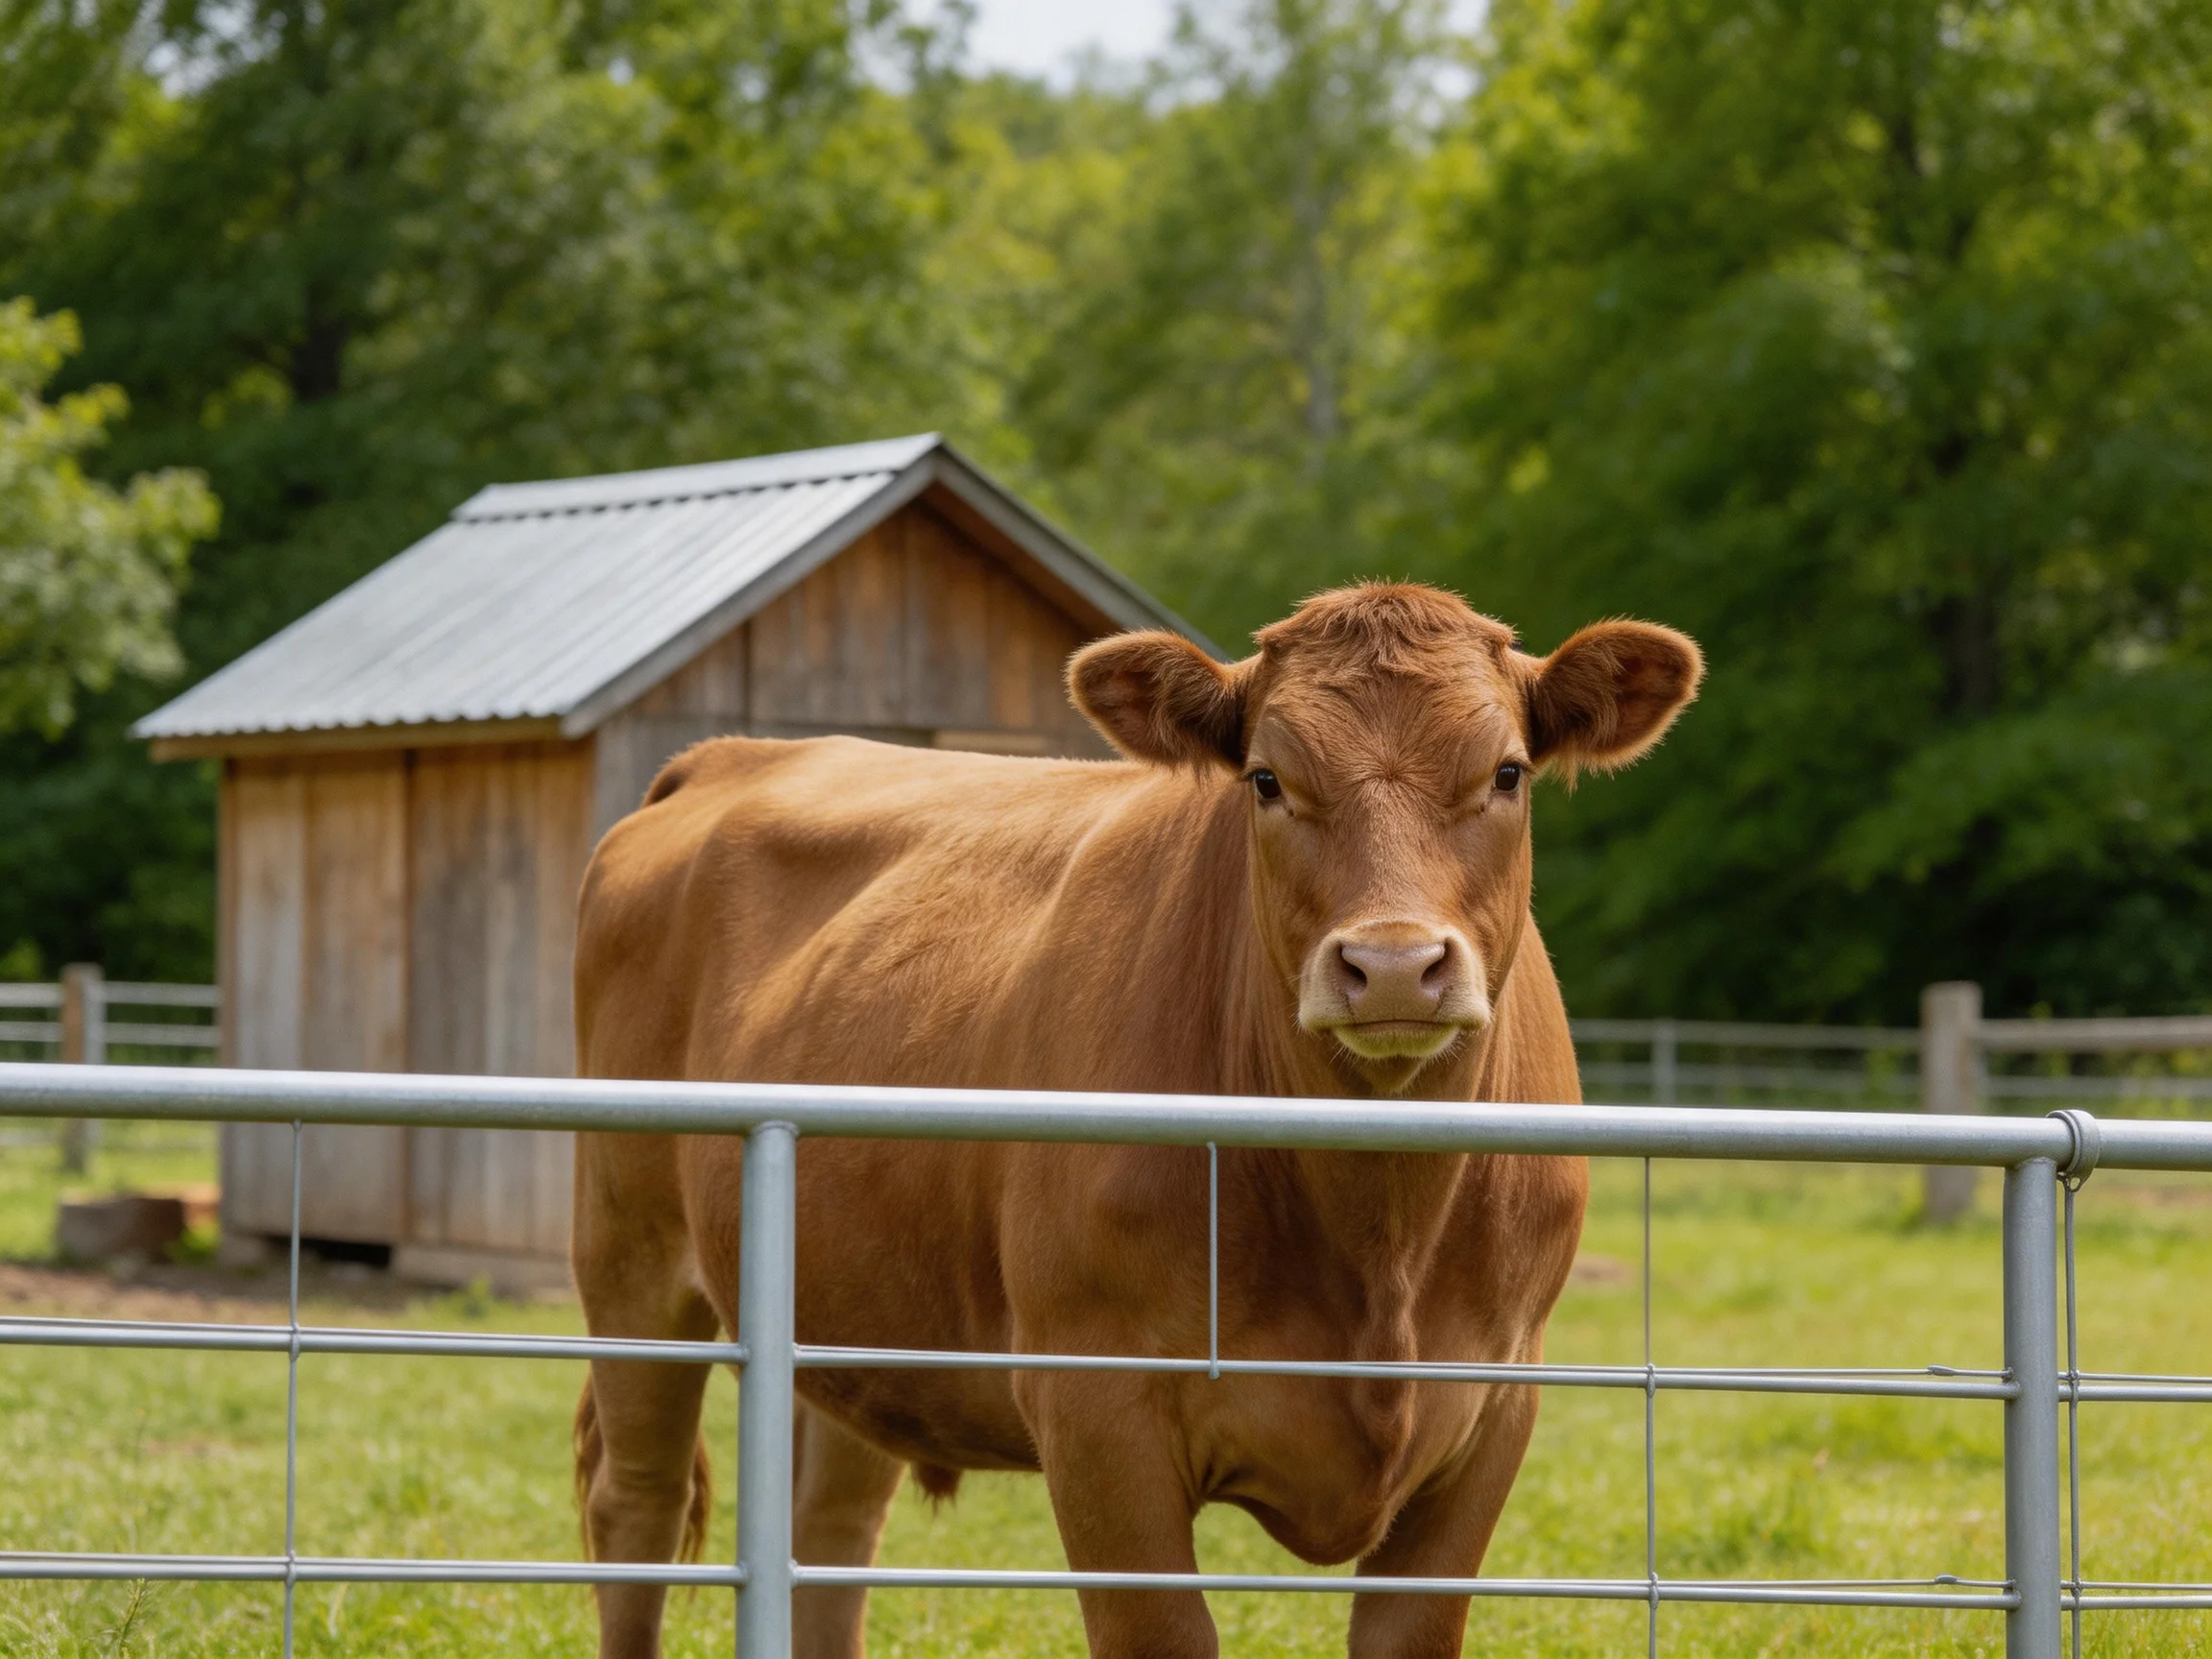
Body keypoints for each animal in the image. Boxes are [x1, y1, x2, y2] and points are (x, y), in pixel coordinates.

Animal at [570, 582, 1701, 1659]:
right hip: (630, 1258)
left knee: (829, 1536)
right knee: (637, 1511)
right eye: (1266, 779)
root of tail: (731, 754)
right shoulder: (1097, 1408)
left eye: (1508, 773)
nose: (1390, 965)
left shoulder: (1495, 1405)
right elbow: (1159, 1633)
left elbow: (1411, 1632)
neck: (1378, 1240)